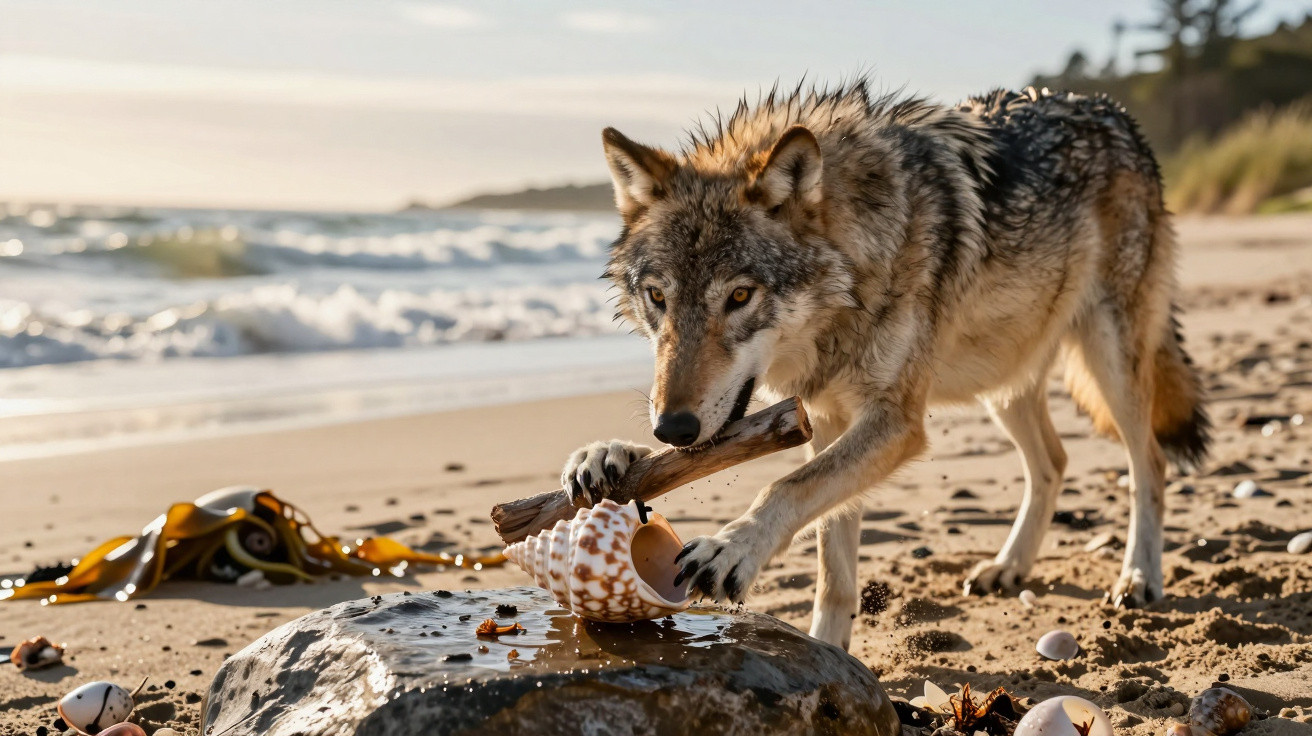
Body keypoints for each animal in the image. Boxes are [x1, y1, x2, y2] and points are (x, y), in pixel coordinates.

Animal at [560, 81, 1209, 650]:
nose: (672, 428)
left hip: (1109, 360)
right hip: (1002, 381)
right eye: (658, 298)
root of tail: (1113, 112)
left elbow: (787, 486)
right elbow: (832, 561)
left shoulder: (896, 421)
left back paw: (1138, 577)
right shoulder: (823, 418)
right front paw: (611, 453)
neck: (856, 271)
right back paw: (1009, 566)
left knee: (1148, 463)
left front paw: (732, 547)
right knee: (1053, 462)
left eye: (740, 296)